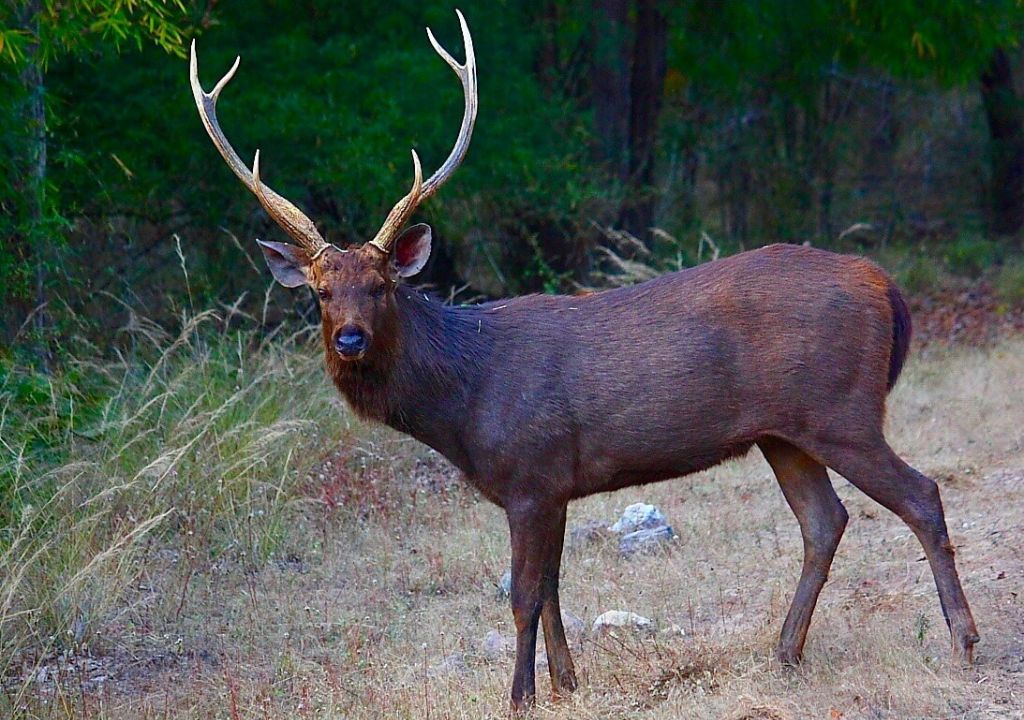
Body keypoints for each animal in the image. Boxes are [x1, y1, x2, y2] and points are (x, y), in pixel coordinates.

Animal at [189, 11, 979, 711]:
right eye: (321, 293)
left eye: (381, 285)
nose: (350, 339)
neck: (463, 404)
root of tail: (882, 284)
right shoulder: (555, 483)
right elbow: (553, 587)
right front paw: (569, 683)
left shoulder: (530, 473)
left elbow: (521, 594)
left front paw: (519, 696)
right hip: (783, 432)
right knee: (825, 520)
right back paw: (784, 652)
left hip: (841, 407)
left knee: (921, 495)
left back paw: (962, 642)